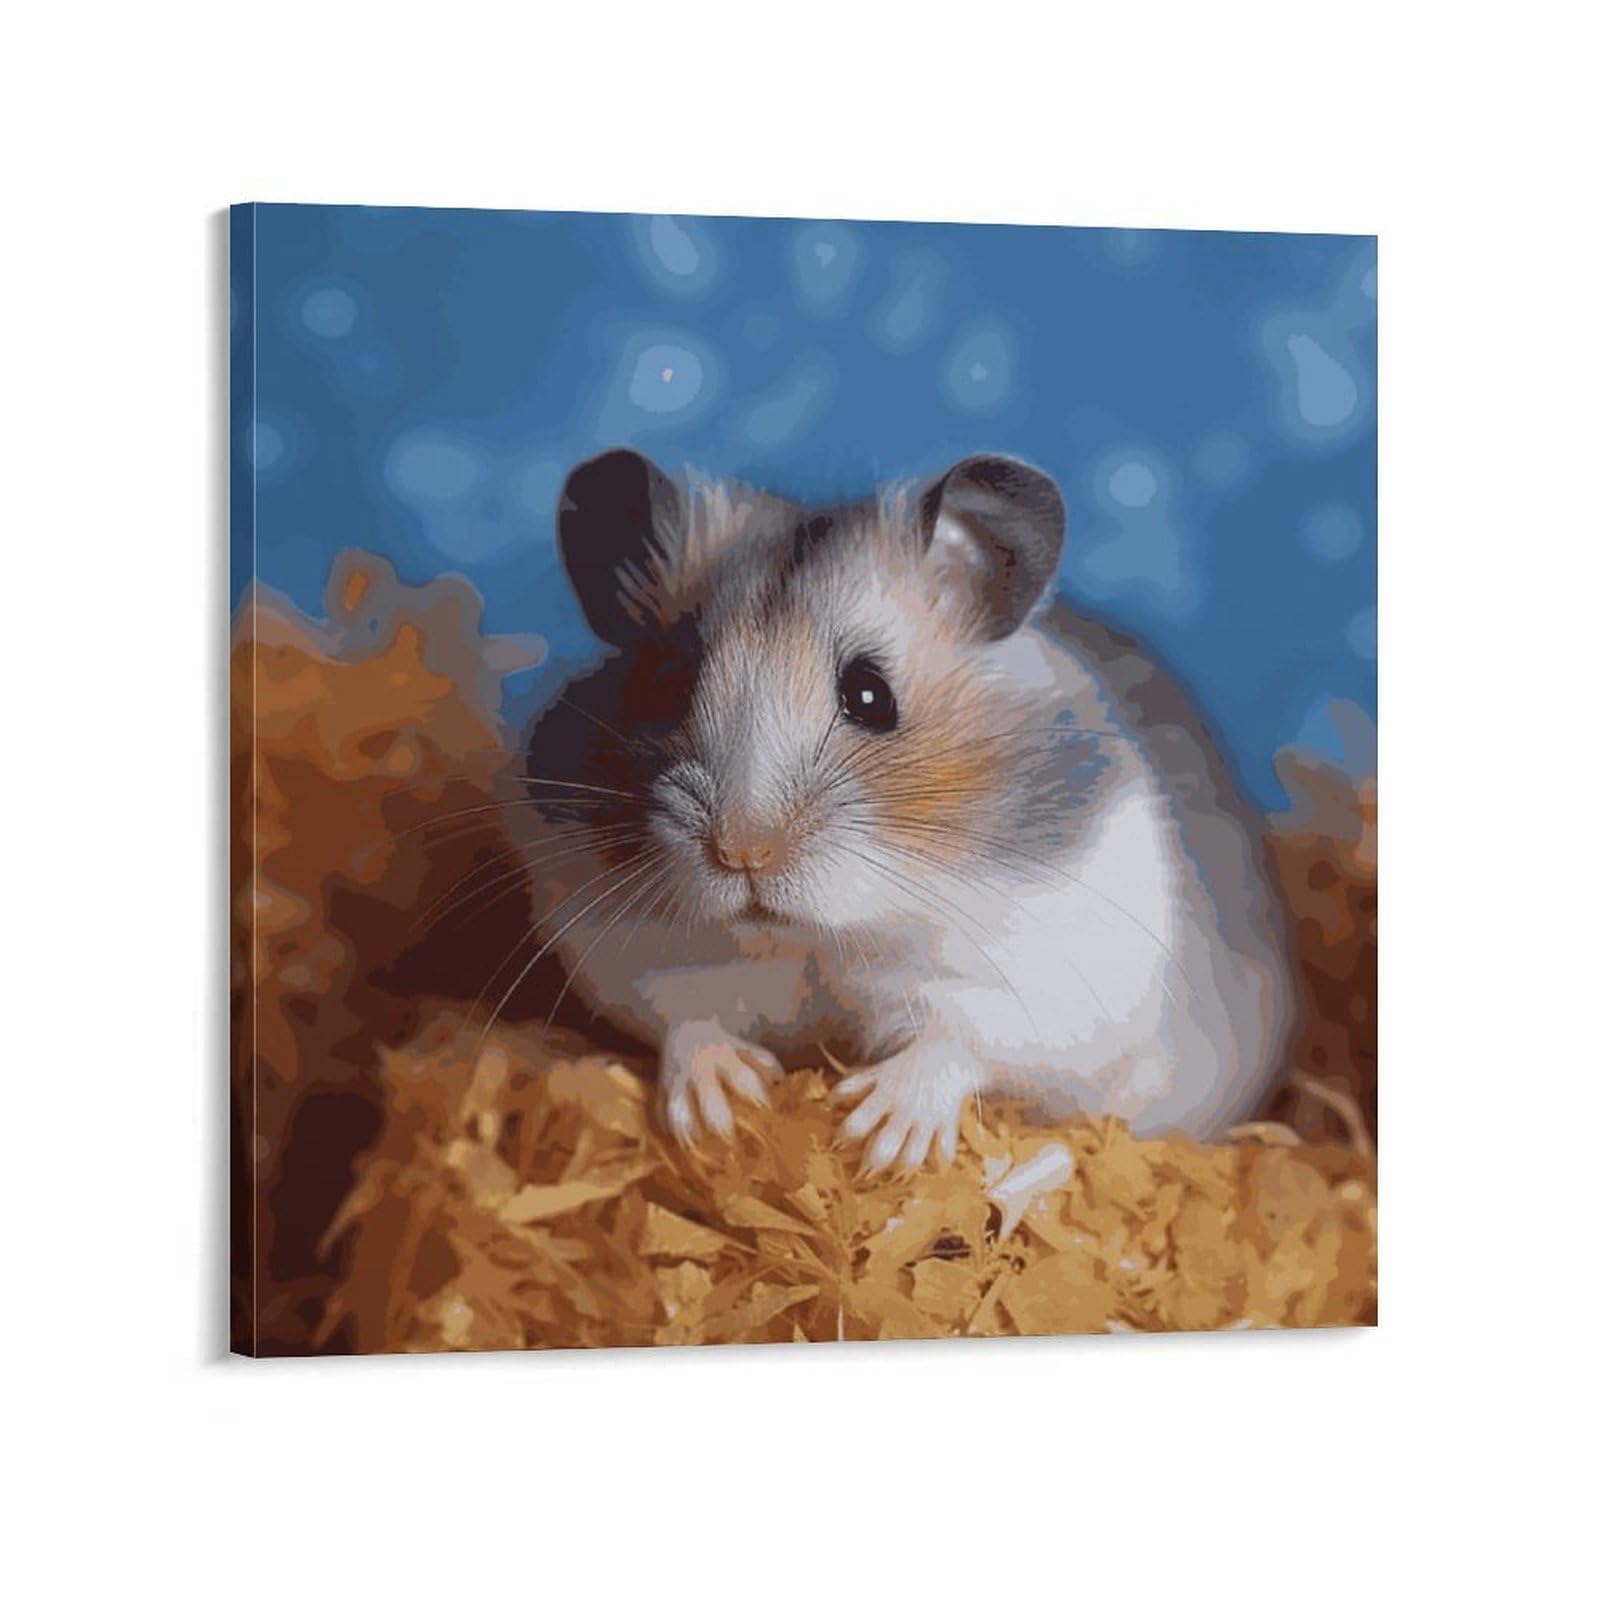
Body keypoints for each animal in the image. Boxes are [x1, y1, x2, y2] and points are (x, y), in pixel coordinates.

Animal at [504, 447, 1295, 1172]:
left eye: (869, 695)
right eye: (668, 686)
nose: (742, 854)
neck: (827, 938)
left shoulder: (1060, 968)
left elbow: (964, 1037)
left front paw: (877, 1135)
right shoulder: (618, 938)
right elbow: (679, 1013)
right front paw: (721, 1112)